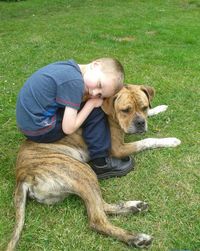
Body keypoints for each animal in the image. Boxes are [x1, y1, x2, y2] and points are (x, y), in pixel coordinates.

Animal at [6, 84, 181, 249]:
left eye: (144, 107)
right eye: (125, 110)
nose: (140, 123)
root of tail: (22, 177)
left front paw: (158, 108)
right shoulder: (118, 149)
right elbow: (147, 141)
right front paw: (170, 140)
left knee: (103, 206)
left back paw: (134, 207)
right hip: (83, 172)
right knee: (97, 220)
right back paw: (136, 238)